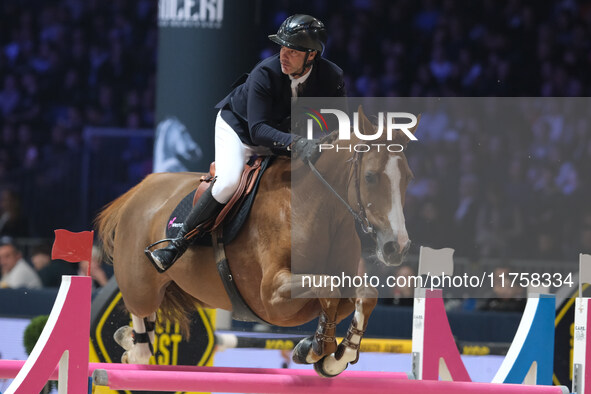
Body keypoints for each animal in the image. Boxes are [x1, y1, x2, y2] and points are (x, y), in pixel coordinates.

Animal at [96, 107, 416, 376]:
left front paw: (334, 356)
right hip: (141, 284)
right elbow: (328, 287)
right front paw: (317, 349)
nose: (397, 247)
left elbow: (365, 294)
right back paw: (132, 346)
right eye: (371, 176)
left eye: (408, 178)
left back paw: (127, 339)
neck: (318, 210)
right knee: (140, 321)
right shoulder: (272, 295)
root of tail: (140, 188)